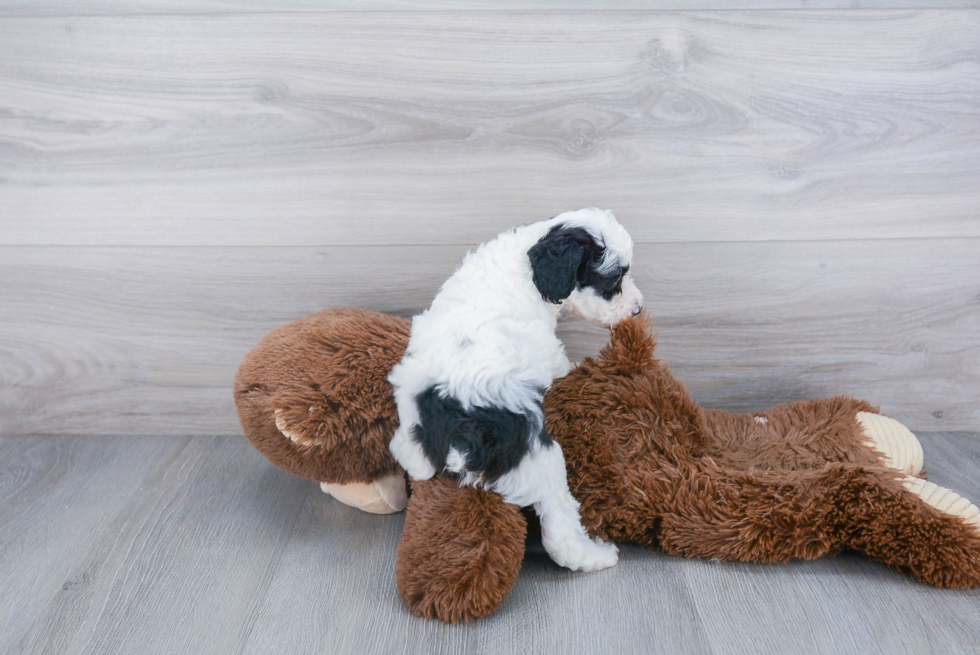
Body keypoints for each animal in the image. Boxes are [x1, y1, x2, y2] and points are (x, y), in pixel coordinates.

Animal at [386, 208, 648, 572]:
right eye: (612, 280)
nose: (638, 308)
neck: (527, 261)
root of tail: (459, 440)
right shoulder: (548, 350)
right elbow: (560, 363)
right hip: (539, 460)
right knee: (559, 528)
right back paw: (595, 556)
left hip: (409, 431)